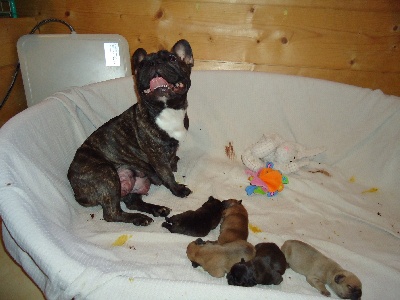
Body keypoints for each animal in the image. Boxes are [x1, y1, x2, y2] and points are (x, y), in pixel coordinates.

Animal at [67, 40, 194, 227]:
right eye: (141, 65)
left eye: (172, 58)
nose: (153, 63)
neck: (166, 108)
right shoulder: (156, 155)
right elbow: (167, 173)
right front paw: (177, 189)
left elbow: (171, 160)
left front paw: (174, 163)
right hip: (106, 175)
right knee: (112, 214)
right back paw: (139, 218)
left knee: (133, 202)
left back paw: (156, 210)